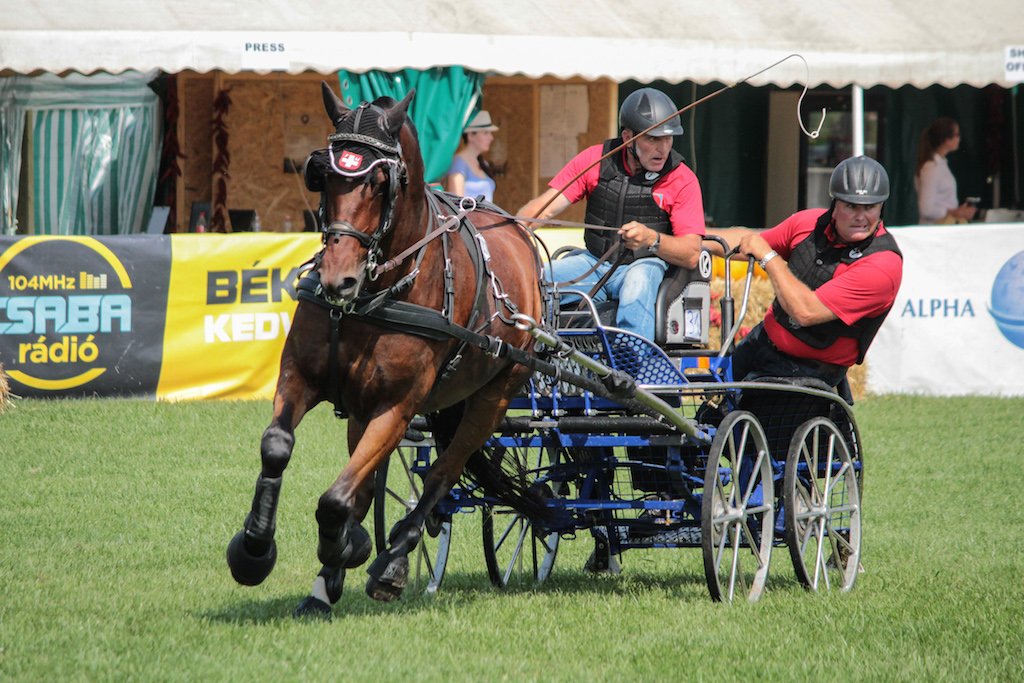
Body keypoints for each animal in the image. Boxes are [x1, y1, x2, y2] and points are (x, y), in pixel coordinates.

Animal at [224, 82, 544, 618]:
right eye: (323, 175)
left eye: (380, 182)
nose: (338, 280)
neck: (374, 297)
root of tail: (518, 232)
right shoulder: (301, 377)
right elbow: (278, 446)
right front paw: (254, 549)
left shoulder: (396, 407)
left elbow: (336, 500)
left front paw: (351, 548)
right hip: (364, 406)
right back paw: (332, 576)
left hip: (492, 397)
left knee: (443, 470)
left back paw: (392, 559)